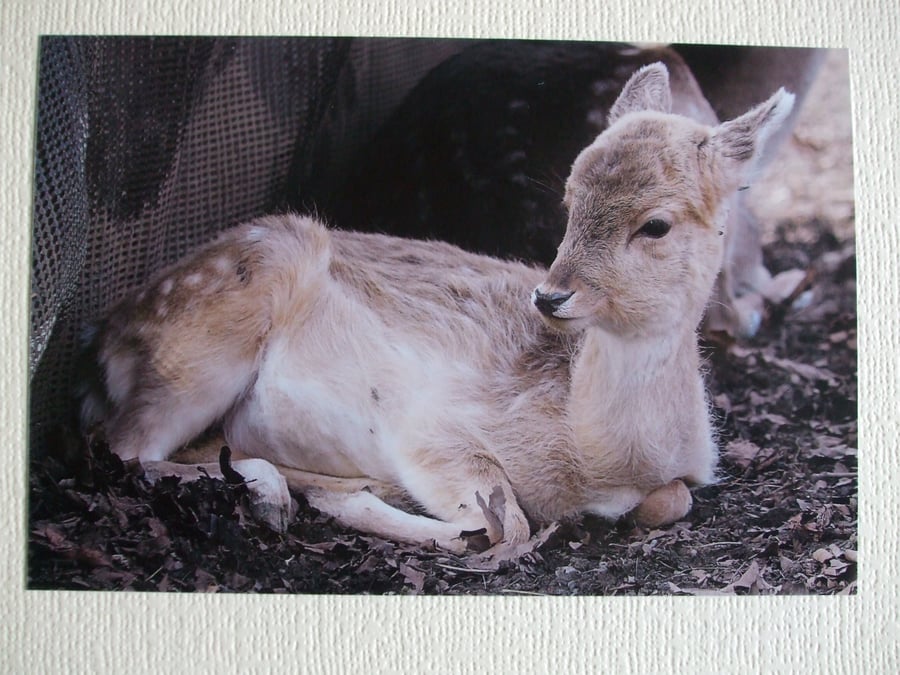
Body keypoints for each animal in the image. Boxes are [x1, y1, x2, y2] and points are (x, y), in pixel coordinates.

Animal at [78, 63, 794, 559]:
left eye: (656, 224)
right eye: (568, 199)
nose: (550, 295)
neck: (597, 450)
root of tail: (106, 338)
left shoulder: (684, 474)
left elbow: (673, 499)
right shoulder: (432, 430)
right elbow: (502, 522)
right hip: (202, 347)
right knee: (123, 447)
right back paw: (276, 491)